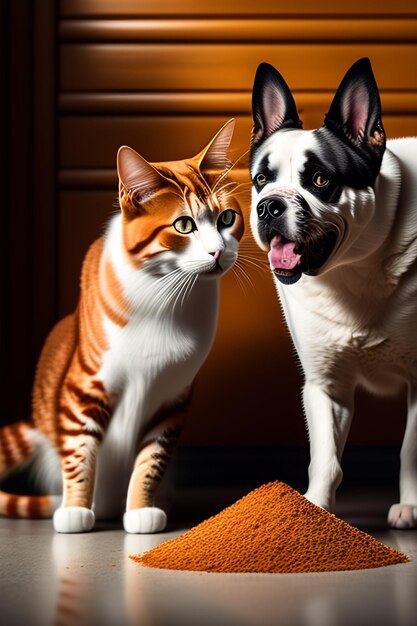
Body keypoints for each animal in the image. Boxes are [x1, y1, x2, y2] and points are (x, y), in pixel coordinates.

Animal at [0, 118, 244, 532]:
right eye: (184, 225)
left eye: (227, 219)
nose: (218, 252)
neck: (166, 294)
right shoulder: (83, 388)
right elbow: (80, 451)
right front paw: (76, 509)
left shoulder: (172, 398)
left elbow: (152, 459)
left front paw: (141, 509)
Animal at [250, 57, 416, 528]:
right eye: (261, 179)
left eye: (321, 180)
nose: (268, 206)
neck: (352, 268)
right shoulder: (326, 386)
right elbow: (325, 459)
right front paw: (314, 510)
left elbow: (411, 450)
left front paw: (411, 505)